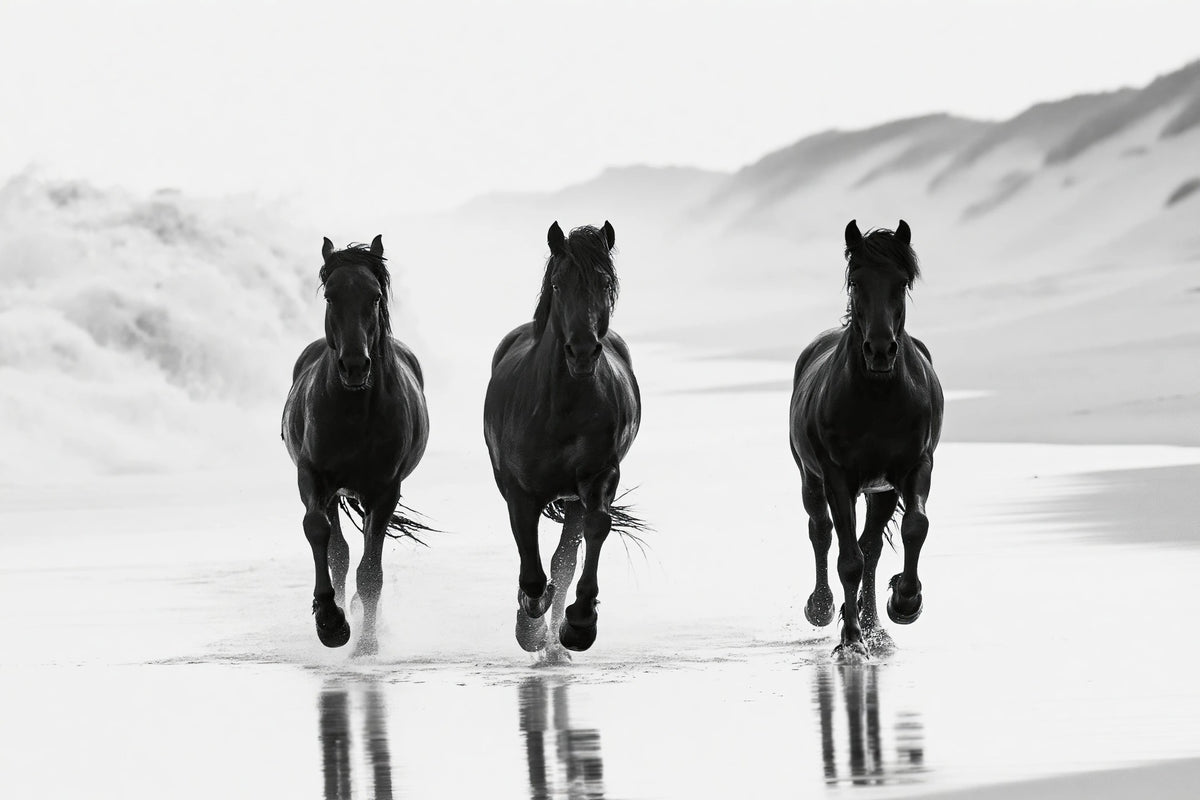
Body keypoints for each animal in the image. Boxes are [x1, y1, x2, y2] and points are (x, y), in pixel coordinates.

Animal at [281, 235, 430, 657]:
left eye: (375, 296)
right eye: (331, 296)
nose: (354, 365)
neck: (352, 411)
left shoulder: (385, 489)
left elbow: (371, 570)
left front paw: (366, 644)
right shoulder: (314, 477)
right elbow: (321, 535)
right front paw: (331, 623)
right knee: (340, 552)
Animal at [483, 221, 642, 657]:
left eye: (604, 282)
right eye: (557, 283)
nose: (582, 352)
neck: (561, 408)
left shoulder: (599, 476)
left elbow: (595, 529)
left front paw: (580, 624)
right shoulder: (519, 491)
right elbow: (532, 567)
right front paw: (529, 625)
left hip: (572, 499)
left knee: (566, 558)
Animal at [789, 219, 943, 660]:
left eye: (902, 281)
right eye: (856, 281)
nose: (879, 350)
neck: (877, 397)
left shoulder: (913, 467)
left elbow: (915, 526)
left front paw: (905, 603)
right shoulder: (838, 477)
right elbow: (848, 559)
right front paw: (851, 640)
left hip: (881, 491)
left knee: (872, 547)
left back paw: (878, 629)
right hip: (811, 478)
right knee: (821, 531)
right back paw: (822, 607)